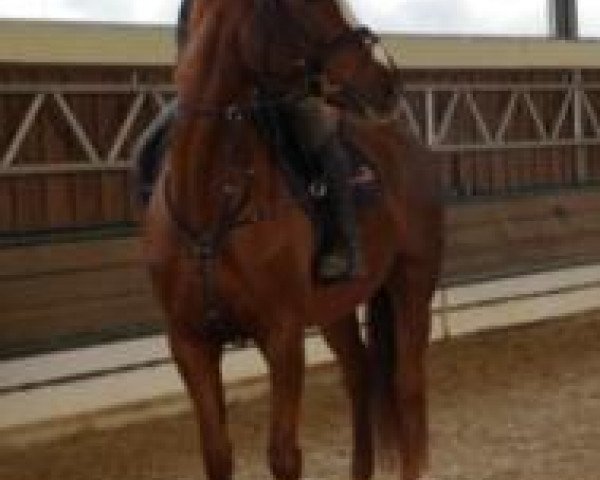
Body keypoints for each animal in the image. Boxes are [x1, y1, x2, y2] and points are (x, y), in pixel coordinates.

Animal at [143, 0, 442, 480]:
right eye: (305, 6)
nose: (388, 77)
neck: (212, 203)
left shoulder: (281, 336)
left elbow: (284, 455)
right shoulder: (189, 343)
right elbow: (217, 454)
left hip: (412, 284)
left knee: (408, 387)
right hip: (336, 308)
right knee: (359, 375)